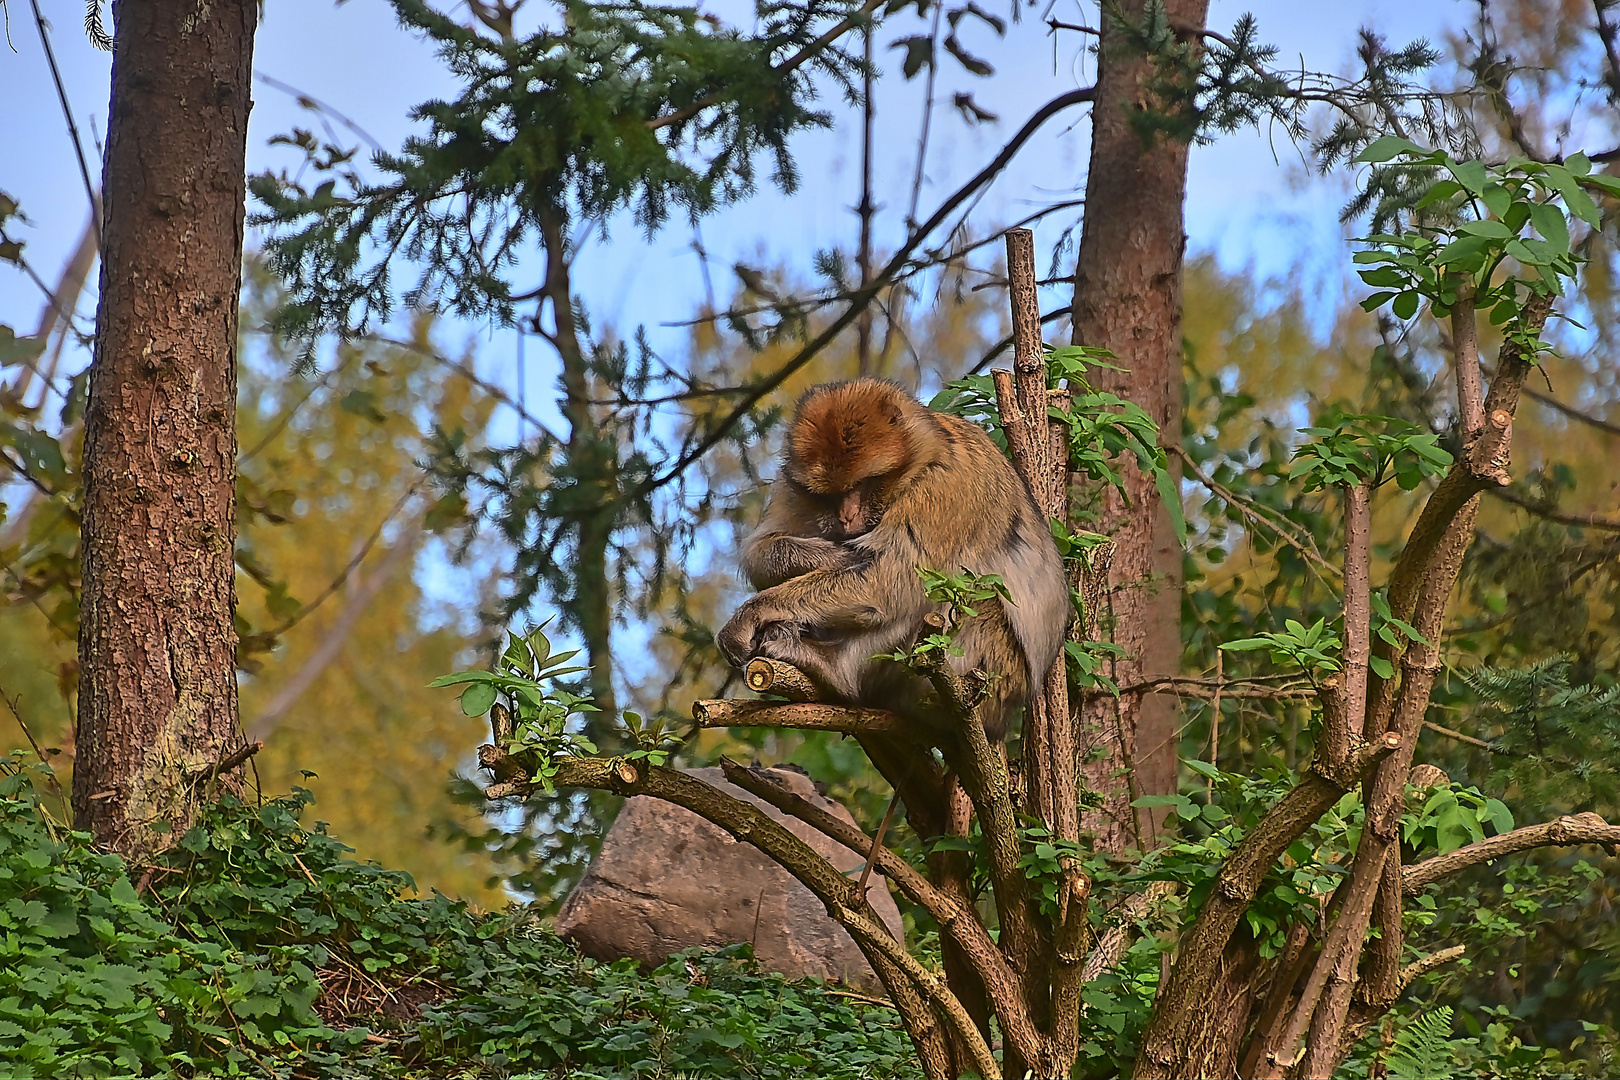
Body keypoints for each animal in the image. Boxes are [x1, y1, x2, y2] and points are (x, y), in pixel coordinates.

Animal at [716, 374, 1069, 744]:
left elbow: (891, 582)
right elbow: (758, 551)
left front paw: (751, 614)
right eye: (830, 495)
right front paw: (829, 554)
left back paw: (835, 669)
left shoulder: (943, 486)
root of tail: (1003, 719)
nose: (847, 518)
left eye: (865, 483)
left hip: (989, 675)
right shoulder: (794, 485)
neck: (924, 454)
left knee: (941, 596)